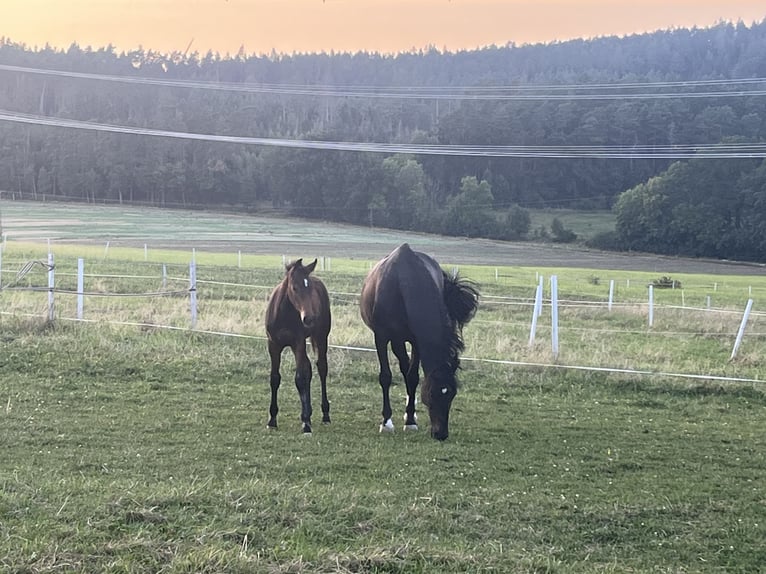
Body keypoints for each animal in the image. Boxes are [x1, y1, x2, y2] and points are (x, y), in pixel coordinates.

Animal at [266, 258, 332, 434]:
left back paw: (325, 414)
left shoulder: (298, 344)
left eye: (310, 288)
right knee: (308, 368)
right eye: (295, 287)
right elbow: (275, 378)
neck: (283, 314)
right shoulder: (273, 345)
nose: (309, 318)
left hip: (321, 337)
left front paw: (306, 423)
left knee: (321, 368)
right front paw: (272, 419)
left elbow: (300, 378)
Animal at [362, 243, 480, 440]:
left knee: (407, 369)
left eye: (452, 394)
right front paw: (386, 422)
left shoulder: (416, 341)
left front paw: (410, 420)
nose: (441, 434)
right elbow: (386, 376)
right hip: (396, 340)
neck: (402, 282)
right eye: (432, 394)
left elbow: (413, 377)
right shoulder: (382, 337)